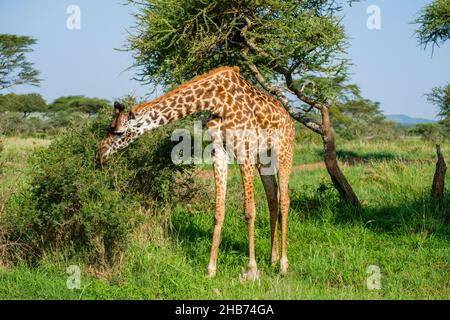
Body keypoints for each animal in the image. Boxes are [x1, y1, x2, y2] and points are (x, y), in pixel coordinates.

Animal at [95, 67, 296, 278]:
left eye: (118, 132)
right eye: (108, 128)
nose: (99, 154)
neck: (216, 100)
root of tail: (290, 119)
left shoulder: (244, 150)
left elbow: (249, 210)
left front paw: (251, 269)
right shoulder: (220, 152)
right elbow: (219, 211)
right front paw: (211, 269)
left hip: (284, 150)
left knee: (284, 200)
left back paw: (283, 265)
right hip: (263, 159)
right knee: (273, 198)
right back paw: (272, 259)